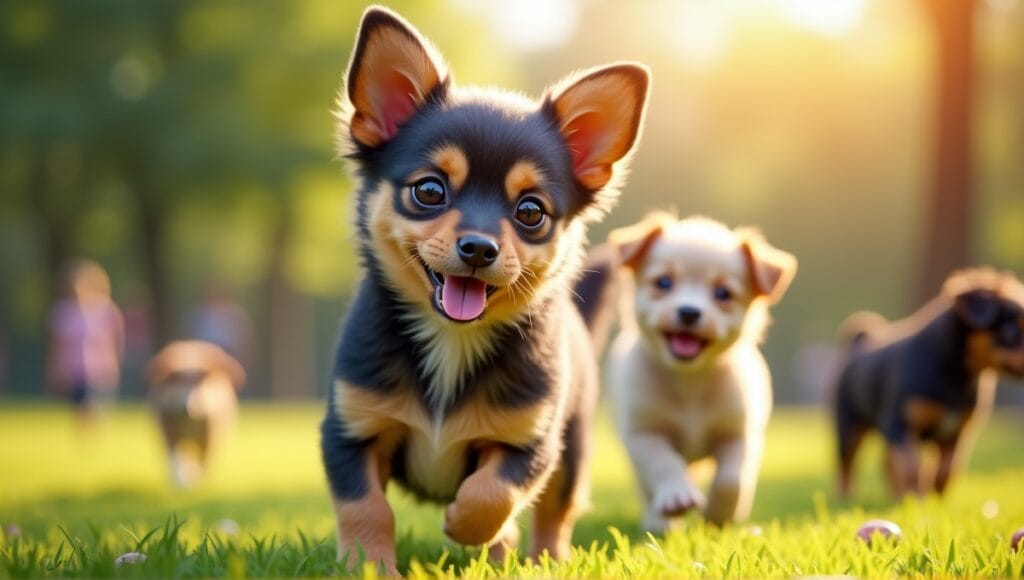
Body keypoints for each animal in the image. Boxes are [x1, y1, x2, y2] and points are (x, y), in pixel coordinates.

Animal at [146, 340, 243, 491]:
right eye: (177, 382)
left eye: (200, 383)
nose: (186, 406)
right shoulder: (168, 429)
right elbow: (174, 457)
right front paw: (181, 480)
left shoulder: (209, 435)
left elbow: (204, 459)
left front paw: (194, 479)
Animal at [319, 7, 647, 573]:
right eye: (429, 191)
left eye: (531, 211)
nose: (478, 248)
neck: (451, 340)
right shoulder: (350, 429)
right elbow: (366, 508)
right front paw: (369, 566)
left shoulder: (530, 440)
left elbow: (493, 492)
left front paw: (467, 525)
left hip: (573, 449)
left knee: (555, 513)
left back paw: (540, 560)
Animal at [602, 214, 794, 532]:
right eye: (664, 282)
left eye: (723, 293)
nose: (689, 312)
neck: (690, 380)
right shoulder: (645, 433)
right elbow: (664, 464)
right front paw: (675, 497)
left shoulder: (738, 433)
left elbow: (732, 479)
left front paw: (719, 514)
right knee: (647, 487)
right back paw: (658, 521)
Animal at [835, 268, 1019, 500]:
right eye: (1012, 331)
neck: (955, 373)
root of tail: (859, 343)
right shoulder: (900, 424)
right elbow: (912, 467)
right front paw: (917, 496)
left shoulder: (955, 432)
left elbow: (948, 468)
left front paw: (937, 497)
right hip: (849, 426)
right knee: (846, 462)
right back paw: (845, 495)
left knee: (887, 463)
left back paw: (895, 494)